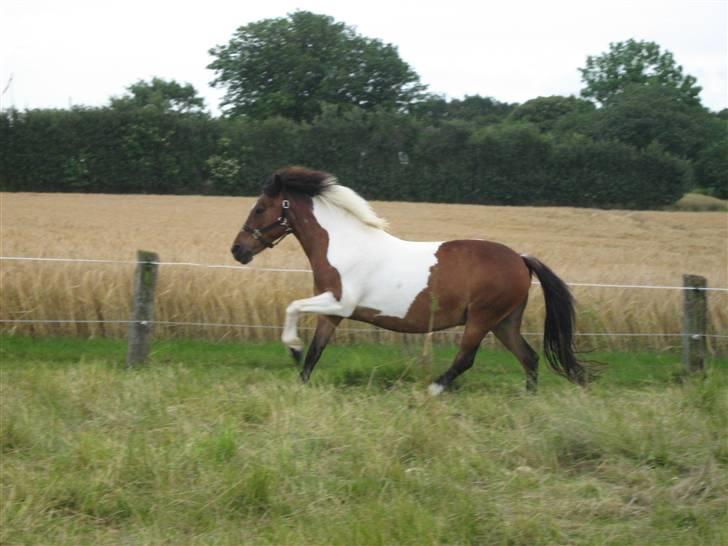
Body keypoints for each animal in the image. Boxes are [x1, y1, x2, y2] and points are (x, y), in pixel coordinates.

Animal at [230, 165, 596, 392]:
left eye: (260, 208)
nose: (237, 250)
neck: (342, 244)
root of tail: (521, 259)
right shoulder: (332, 313)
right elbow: (315, 351)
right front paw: (299, 376)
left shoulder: (339, 303)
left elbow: (292, 307)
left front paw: (292, 346)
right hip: (504, 322)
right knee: (529, 358)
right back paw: (527, 398)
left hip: (482, 318)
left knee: (466, 358)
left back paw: (432, 390)